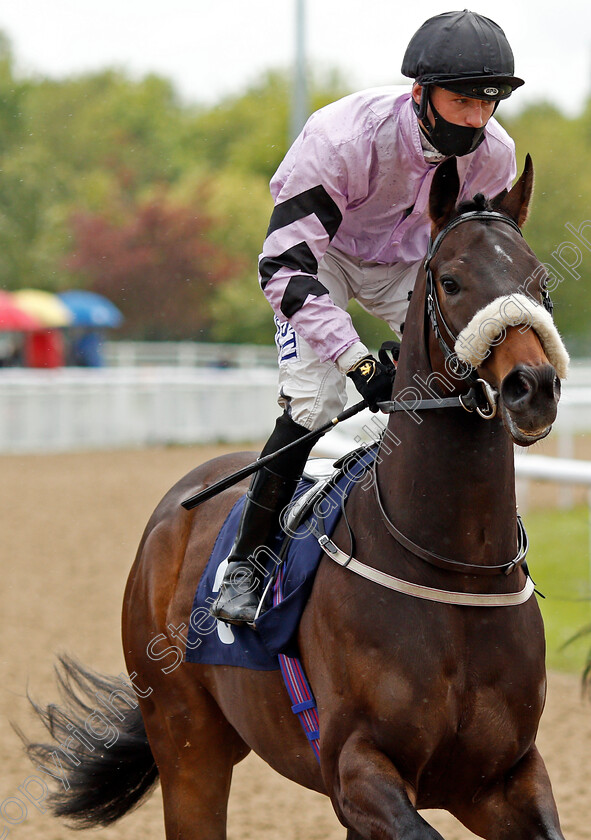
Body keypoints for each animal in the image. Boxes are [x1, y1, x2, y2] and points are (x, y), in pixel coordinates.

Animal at [23, 158, 568, 840]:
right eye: (451, 281)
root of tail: (173, 512)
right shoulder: (355, 767)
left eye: (539, 282)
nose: (533, 386)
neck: (453, 568)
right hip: (187, 744)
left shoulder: (502, 775)